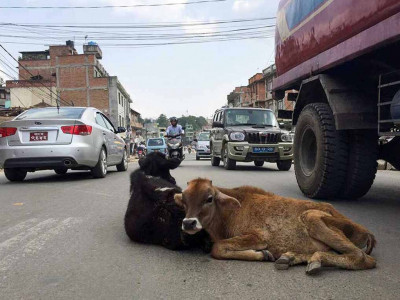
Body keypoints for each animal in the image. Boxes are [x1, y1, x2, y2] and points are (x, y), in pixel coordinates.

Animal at [174, 179, 376, 276]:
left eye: (209, 198)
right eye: (184, 199)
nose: (188, 223)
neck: (229, 212)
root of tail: (368, 233)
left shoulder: (258, 237)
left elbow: (217, 248)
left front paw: (262, 254)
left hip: (311, 217)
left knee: (362, 258)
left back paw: (312, 260)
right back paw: (290, 258)